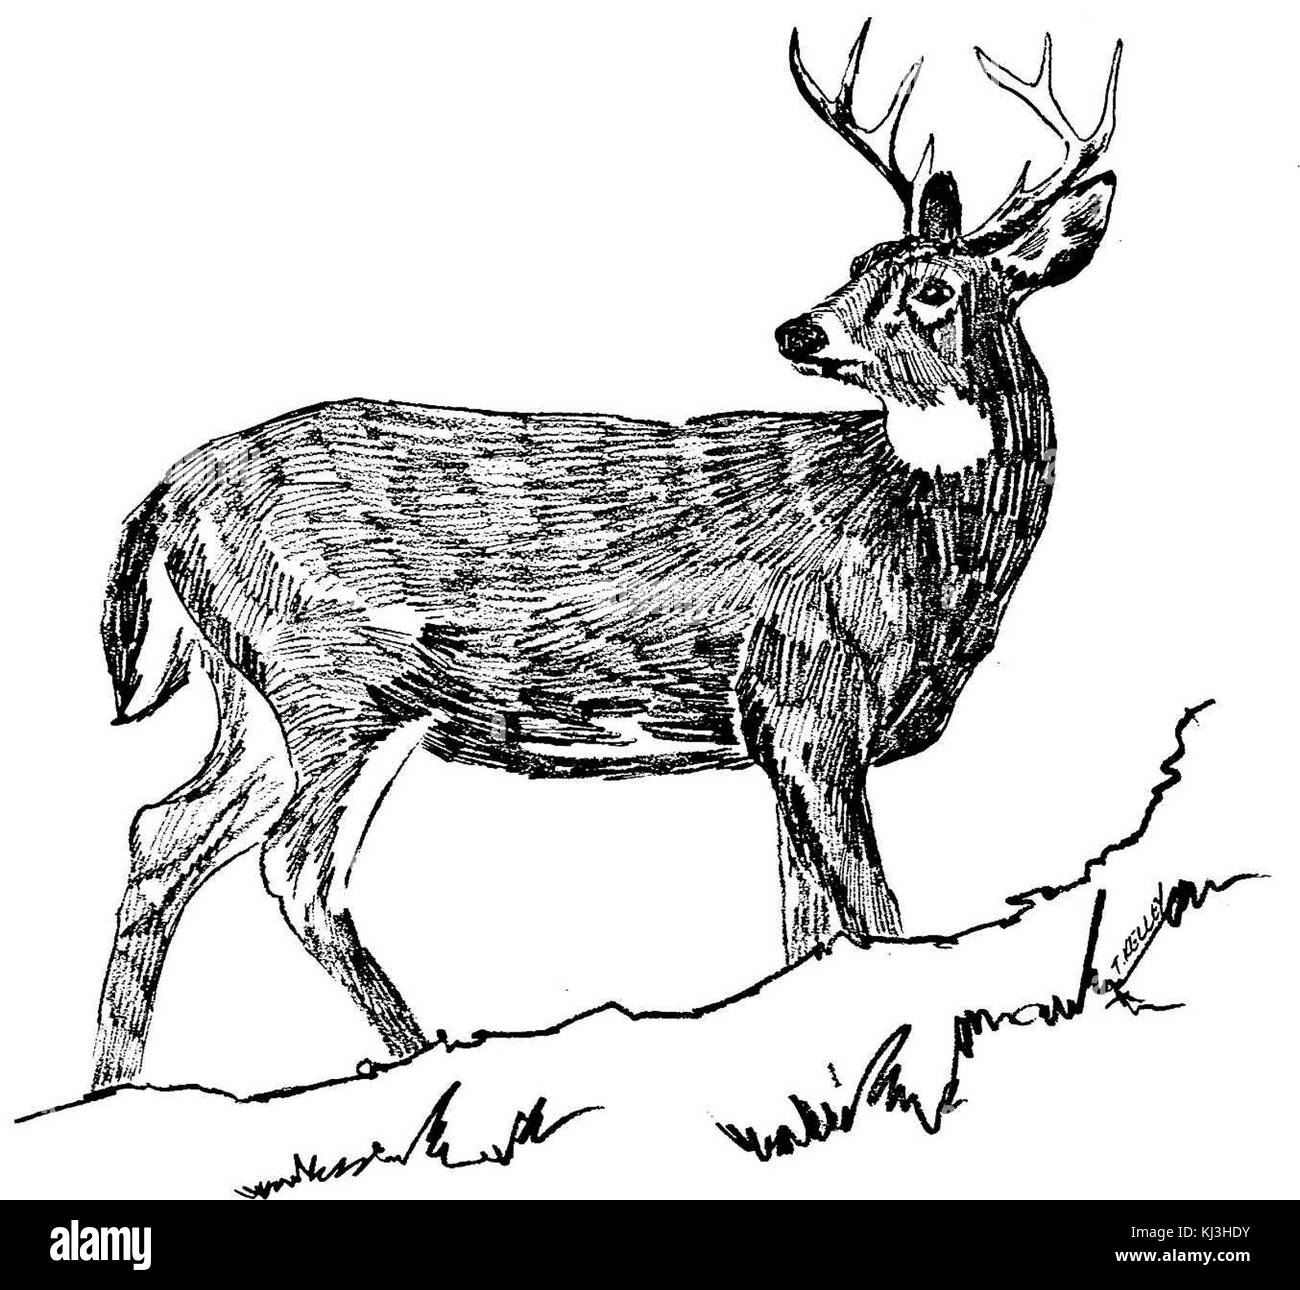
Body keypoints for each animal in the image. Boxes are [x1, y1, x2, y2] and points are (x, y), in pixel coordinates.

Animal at [92, 21, 1121, 1091]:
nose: (798, 328)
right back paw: (425, 1053)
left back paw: (112, 1084)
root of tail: (164, 501)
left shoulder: (778, 743)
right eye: (856, 262)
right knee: (294, 869)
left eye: (930, 288)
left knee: (160, 836)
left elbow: (807, 934)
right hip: (331, 681)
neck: (931, 557)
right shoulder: (807, 702)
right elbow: (877, 919)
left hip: (254, 695)